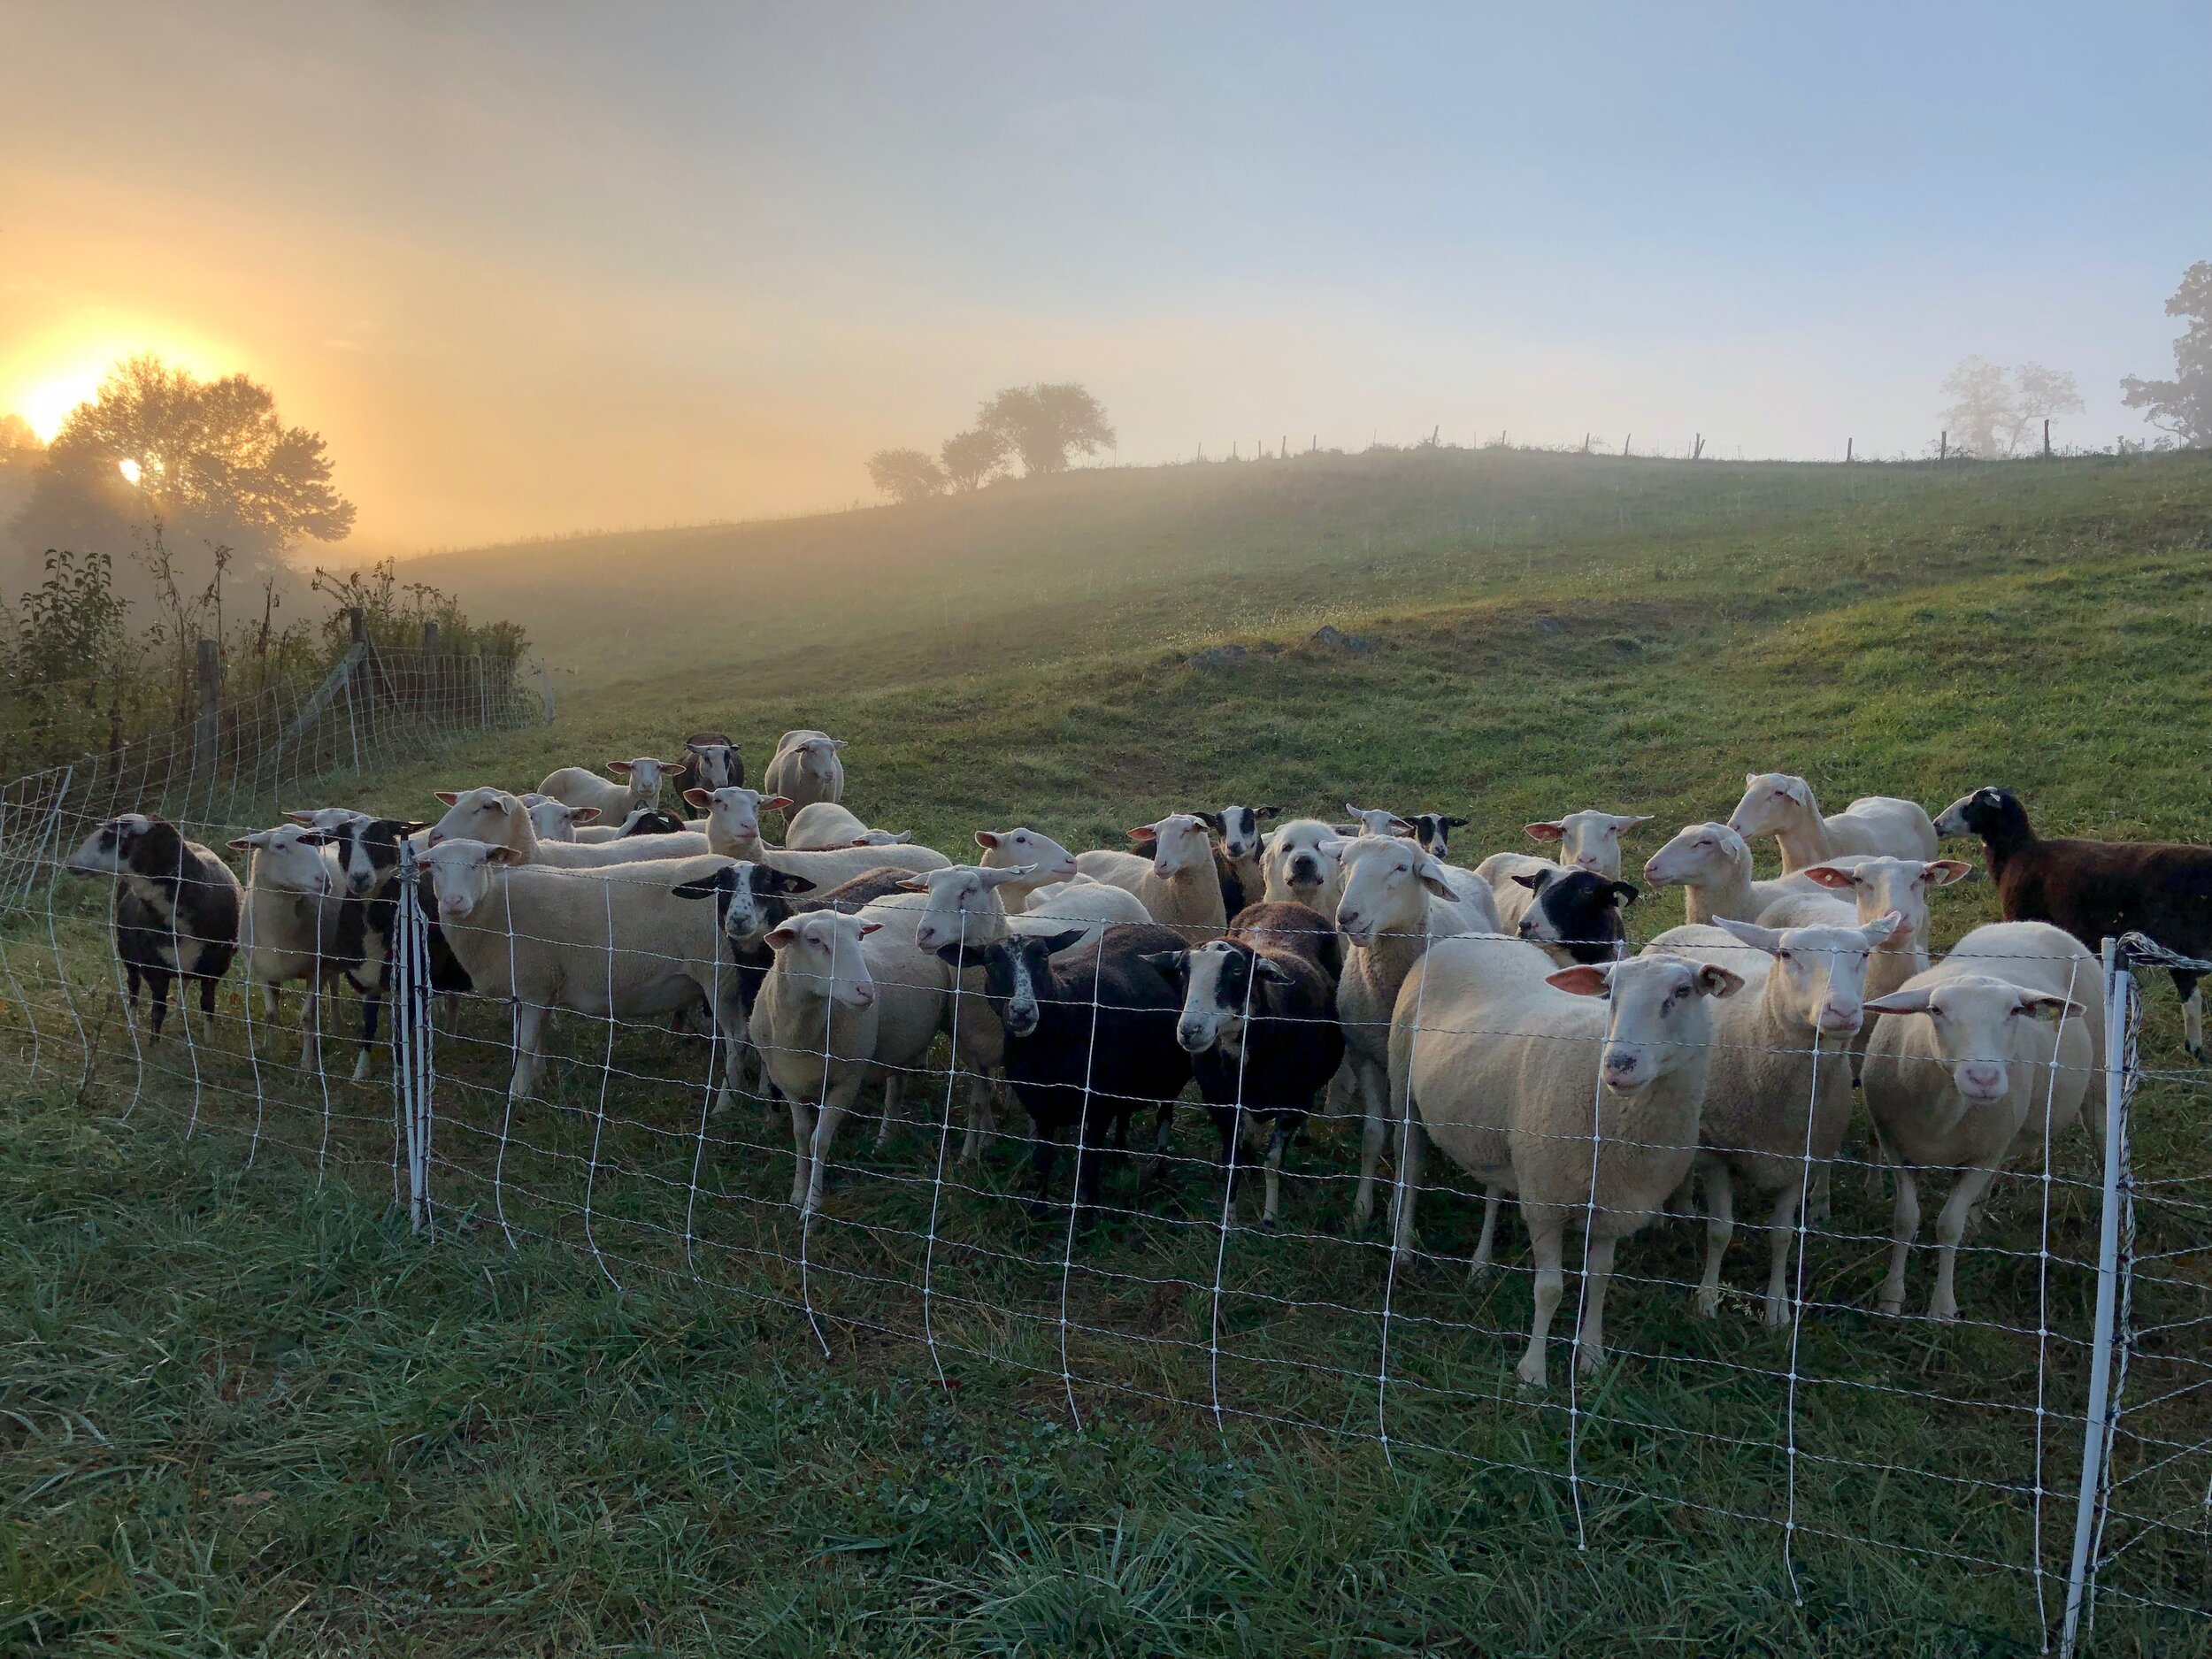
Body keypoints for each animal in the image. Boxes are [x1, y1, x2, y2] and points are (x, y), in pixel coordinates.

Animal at [1389, 938, 1734, 1389]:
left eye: (1682, 992)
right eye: (1610, 993)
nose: (1618, 1065)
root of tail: (1465, 937)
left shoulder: (1609, 1206)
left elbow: (1600, 1279)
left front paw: (1592, 1357)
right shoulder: (1545, 1203)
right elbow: (1549, 1289)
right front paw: (1533, 1372)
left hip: (1503, 1132)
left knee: (1494, 1189)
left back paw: (1480, 1267)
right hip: (1403, 1088)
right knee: (1409, 1170)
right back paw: (1403, 1250)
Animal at [1858, 925, 2097, 1327]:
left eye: (2015, 1011)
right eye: (1936, 1010)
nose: (1983, 1078)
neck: (1945, 1112)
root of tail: (2029, 923)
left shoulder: (1982, 1154)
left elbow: (1947, 1225)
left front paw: (1942, 1308)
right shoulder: (1896, 1146)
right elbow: (1906, 1220)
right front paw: (1891, 1299)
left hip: (2098, 1088)